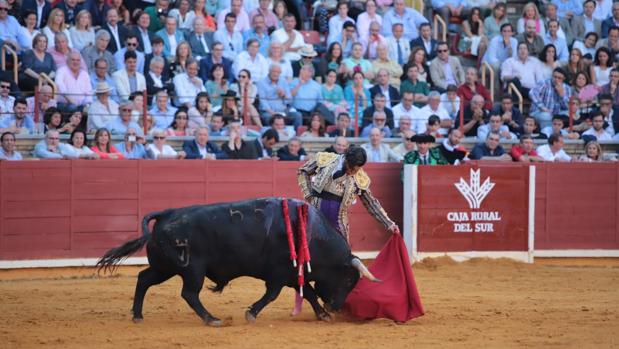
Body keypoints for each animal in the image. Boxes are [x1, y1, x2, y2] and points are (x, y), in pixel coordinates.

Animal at [97, 197, 378, 324]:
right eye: (349, 279)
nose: (337, 306)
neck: (311, 234)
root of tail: (167, 214)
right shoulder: (278, 274)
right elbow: (272, 295)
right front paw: (251, 313)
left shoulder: (292, 275)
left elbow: (307, 292)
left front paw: (322, 314)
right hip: (192, 269)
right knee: (189, 293)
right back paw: (211, 319)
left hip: (164, 267)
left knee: (144, 278)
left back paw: (138, 315)